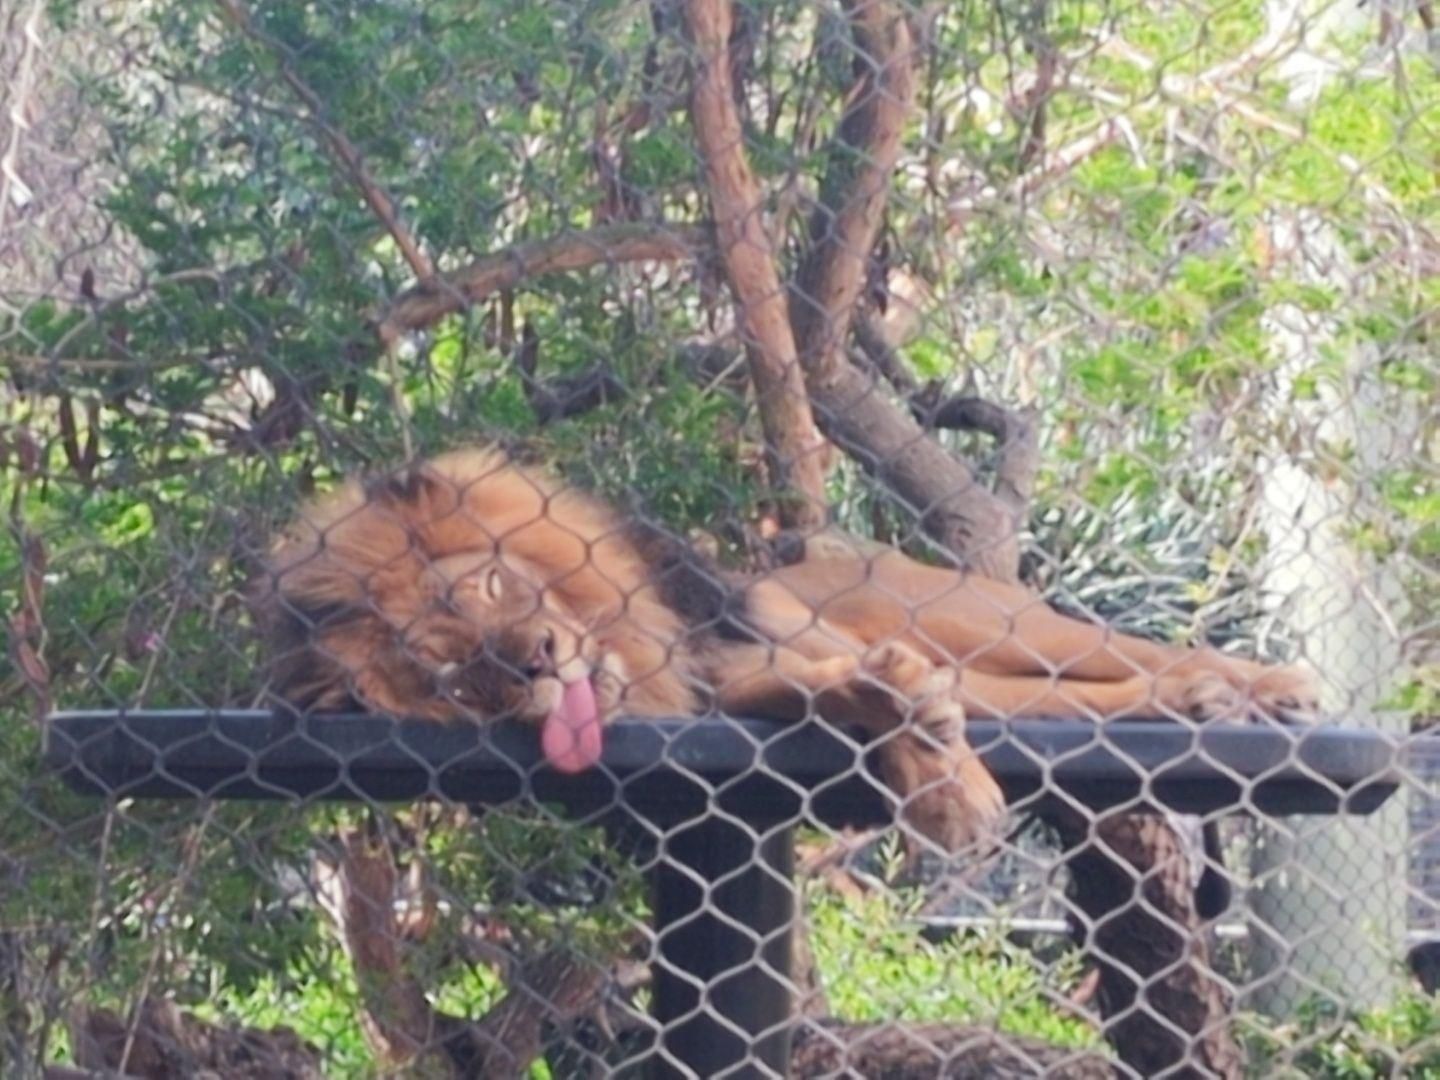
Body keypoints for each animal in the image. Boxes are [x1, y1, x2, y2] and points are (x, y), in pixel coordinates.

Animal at [258, 447, 1318, 853]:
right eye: (451, 673)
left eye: (485, 586)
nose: (539, 660)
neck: (641, 648)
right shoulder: (729, 684)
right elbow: (842, 695)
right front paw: (915, 739)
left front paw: (952, 785)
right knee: (1084, 691)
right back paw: (1209, 704)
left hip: (968, 612)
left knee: (1122, 647)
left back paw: (1266, 685)